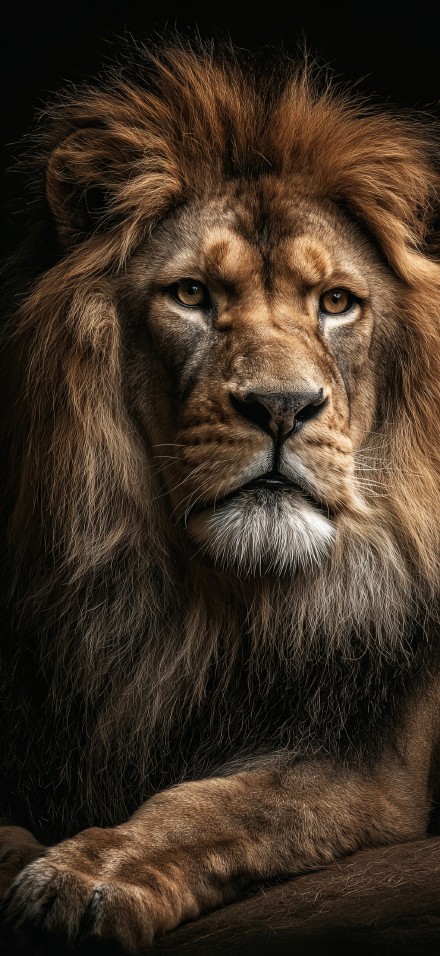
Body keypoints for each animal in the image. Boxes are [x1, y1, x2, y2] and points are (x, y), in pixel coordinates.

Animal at [1, 37, 440, 952]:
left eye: (336, 303)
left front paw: (88, 875)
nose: (281, 406)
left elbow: (214, 804)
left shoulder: (372, 762)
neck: (214, 604)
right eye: (192, 294)